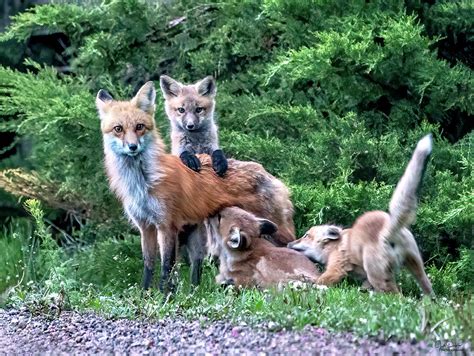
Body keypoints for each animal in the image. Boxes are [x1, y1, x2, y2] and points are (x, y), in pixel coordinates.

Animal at [95, 81, 294, 292]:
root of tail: (268, 173)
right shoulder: (146, 226)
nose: (133, 147)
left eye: (139, 127)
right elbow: (148, 266)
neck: (144, 182)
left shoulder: (166, 225)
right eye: (118, 129)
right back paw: (193, 292)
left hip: (276, 231)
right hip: (198, 235)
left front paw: (163, 296)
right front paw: (145, 295)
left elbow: (166, 267)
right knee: (196, 267)